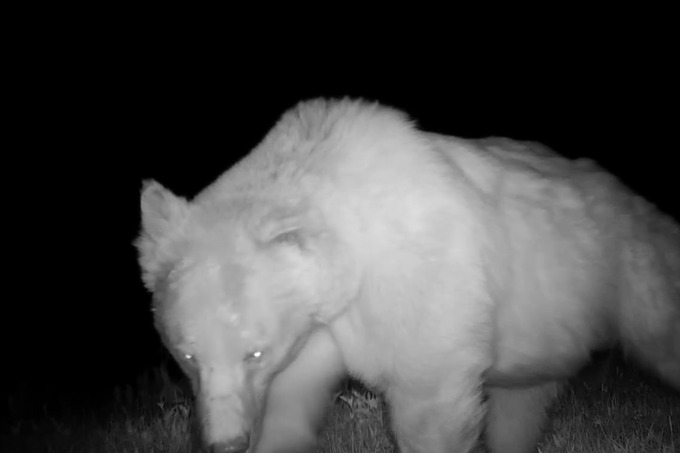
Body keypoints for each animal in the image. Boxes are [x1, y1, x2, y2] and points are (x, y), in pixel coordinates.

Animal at [135, 99, 676, 452]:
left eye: (254, 351)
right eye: (186, 355)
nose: (225, 444)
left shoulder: (419, 274)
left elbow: (429, 396)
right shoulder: (318, 324)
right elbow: (290, 404)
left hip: (634, 275)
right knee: (520, 406)